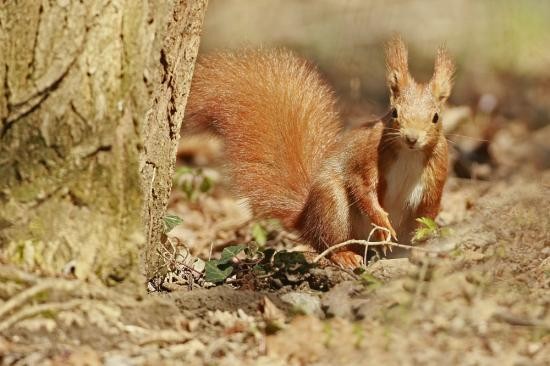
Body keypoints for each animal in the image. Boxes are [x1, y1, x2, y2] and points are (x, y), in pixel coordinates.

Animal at [185, 38, 452, 268]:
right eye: (394, 112)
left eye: (436, 117)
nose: (411, 138)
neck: (409, 154)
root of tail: (306, 219)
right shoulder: (365, 154)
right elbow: (362, 187)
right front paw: (383, 225)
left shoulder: (438, 169)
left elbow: (430, 207)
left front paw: (422, 243)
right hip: (331, 205)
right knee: (329, 243)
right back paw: (345, 254)